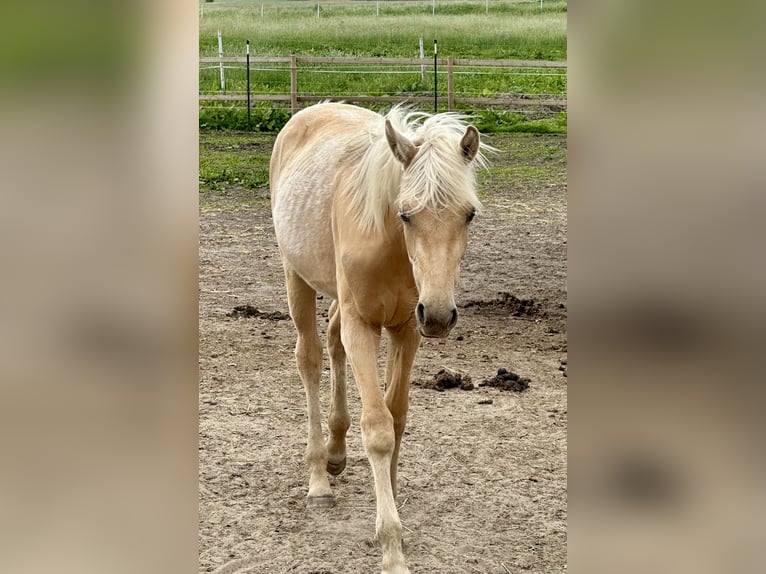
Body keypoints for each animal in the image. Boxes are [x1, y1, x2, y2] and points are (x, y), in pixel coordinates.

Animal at [268, 103, 488, 574]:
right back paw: (319, 479)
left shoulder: (406, 328)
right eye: (405, 213)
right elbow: (379, 428)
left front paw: (390, 493)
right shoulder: (363, 326)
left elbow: (397, 416)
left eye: (469, 214)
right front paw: (391, 547)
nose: (439, 314)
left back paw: (336, 454)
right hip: (296, 277)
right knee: (310, 358)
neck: (389, 246)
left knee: (332, 342)